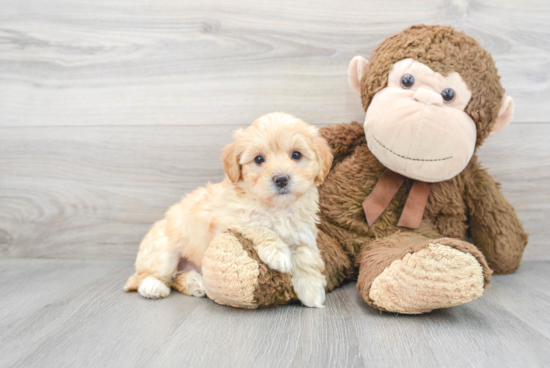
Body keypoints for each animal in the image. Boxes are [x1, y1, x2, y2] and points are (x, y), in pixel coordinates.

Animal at [125, 112, 332, 308]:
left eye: (296, 155)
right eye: (259, 159)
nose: (281, 179)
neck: (275, 207)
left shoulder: (302, 232)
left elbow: (307, 256)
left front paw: (312, 290)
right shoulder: (230, 219)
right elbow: (259, 226)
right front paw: (278, 254)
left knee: (176, 278)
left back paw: (195, 283)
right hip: (163, 251)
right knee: (146, 276)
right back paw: (153, 286)